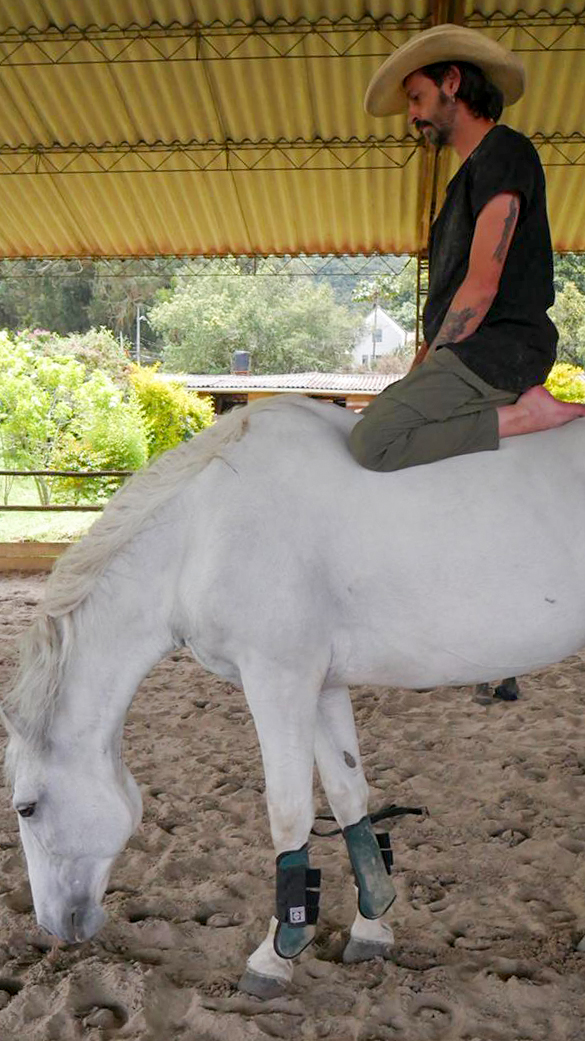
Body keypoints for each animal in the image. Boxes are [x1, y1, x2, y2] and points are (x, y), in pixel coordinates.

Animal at [2, 394, 585, 998]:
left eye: (26, 807)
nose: (54, 925)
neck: (201, 534)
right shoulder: (321, 686)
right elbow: (350, 798)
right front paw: (372, 927)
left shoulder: (277, 681)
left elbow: (289, 813)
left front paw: (276, 953)